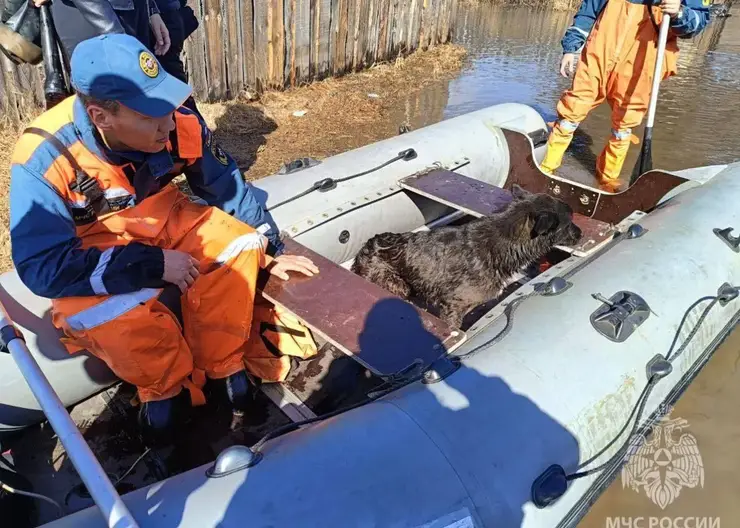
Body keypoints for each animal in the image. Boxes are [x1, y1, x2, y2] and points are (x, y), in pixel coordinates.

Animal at [350, 184, 580, 328]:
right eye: (569, 223)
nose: (580, 234)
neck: (500, 244)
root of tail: (363, 250)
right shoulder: (453, 306)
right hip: (395, 284)